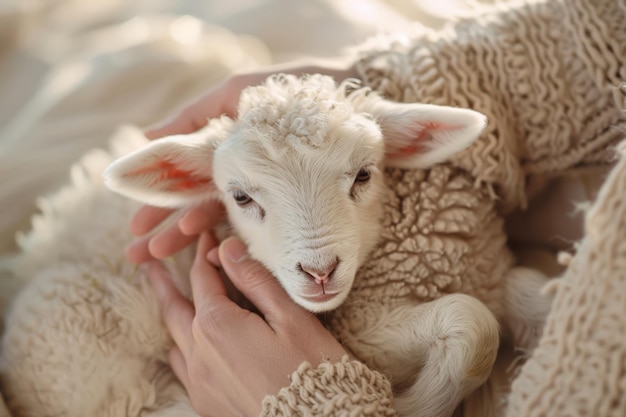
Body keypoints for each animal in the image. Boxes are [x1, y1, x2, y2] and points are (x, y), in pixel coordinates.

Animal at [0, 75, 548, 416]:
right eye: (240, 197)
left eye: (364, 174)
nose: (320, 271)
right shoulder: (361, 331)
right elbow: (473, 324)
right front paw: (410, 404)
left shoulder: (490, 276)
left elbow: (528, 292)